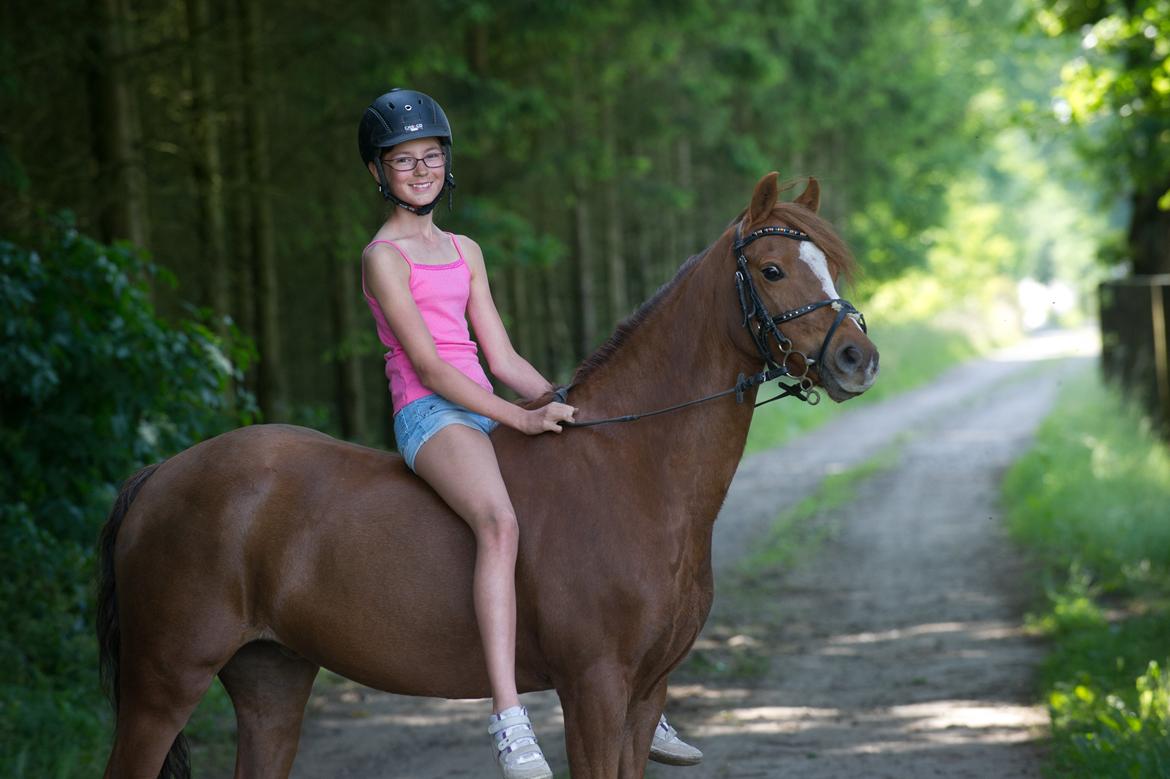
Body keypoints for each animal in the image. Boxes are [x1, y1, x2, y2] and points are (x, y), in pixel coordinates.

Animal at [97, 171, 879, 779]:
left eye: (829, 267)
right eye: (773, 270)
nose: (857, 359)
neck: (630, 471)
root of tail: (160, 473)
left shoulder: (644, 694)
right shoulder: (593, 690)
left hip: (272, 680)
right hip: (164, 685)